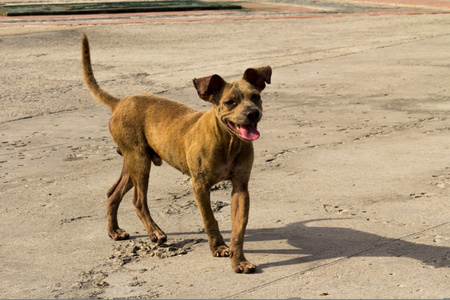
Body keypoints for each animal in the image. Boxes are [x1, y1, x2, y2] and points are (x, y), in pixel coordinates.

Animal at [81, 34, 270, 274]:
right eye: (229, 102)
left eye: (256, 97)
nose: (253, 113)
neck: (227, 142)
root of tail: (120, 102)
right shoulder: (200, 186)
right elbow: (210, 220)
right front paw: (218, 247)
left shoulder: (241, 188)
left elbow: (238, 229)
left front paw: (239, 260)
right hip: (140, 163)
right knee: (138, 201)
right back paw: (154, 232)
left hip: (132, 163)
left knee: (112, 193)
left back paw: (114, 230)